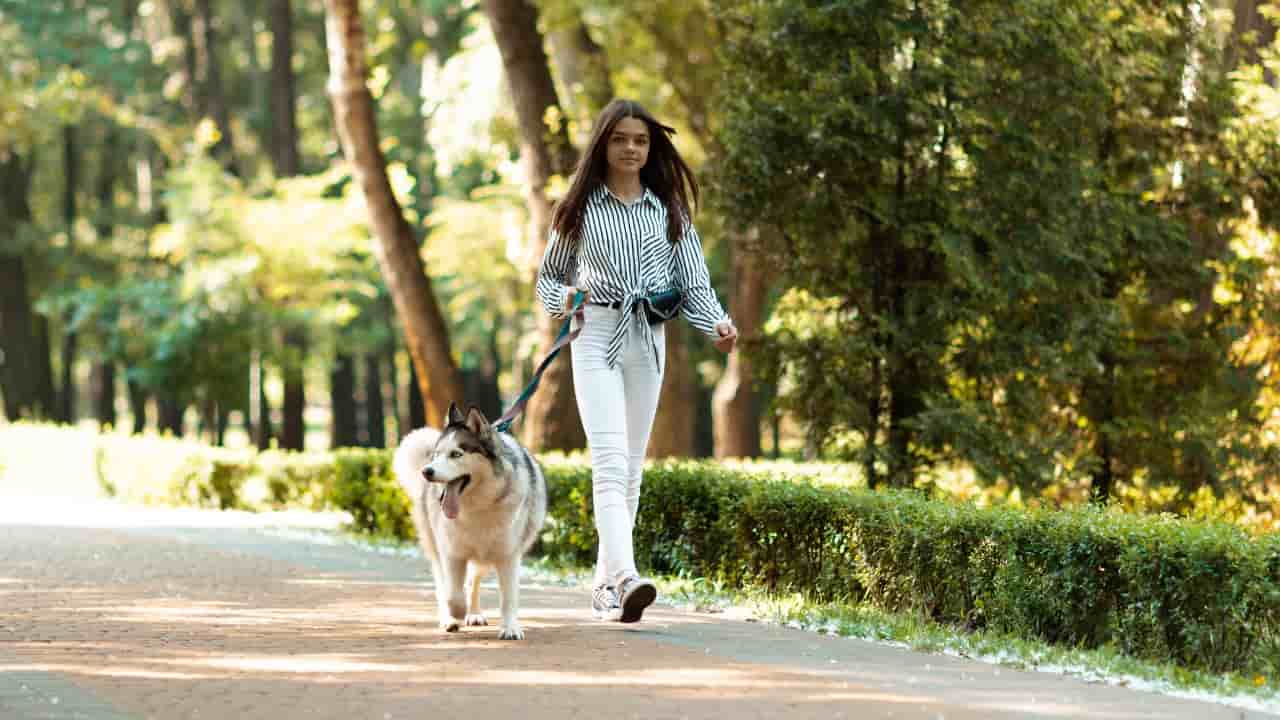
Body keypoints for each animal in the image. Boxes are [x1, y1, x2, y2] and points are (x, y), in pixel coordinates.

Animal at [391, 404, 547, 638]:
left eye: (456, 454)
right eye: (436, 455)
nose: (427, 471)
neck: (478, 507)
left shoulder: (508, 555)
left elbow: (508, 597)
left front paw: (510, 627)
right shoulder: (452, 553)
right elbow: (452, 593)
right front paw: (455, 613)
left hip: (485, 557)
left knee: (474, 580)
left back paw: (474, 613)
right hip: (438, 547)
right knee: (444, 583)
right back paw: (450, 617)